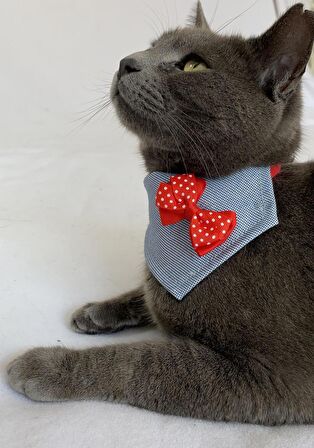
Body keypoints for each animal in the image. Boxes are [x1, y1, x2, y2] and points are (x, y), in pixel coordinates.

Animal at [7, 2, 314, 424]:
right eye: (153, 46)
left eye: (193, 66)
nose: (127, 61)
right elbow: (147, 290)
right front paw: (97, 311)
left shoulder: (275, 376)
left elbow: (139, 362)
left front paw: (44, 365)